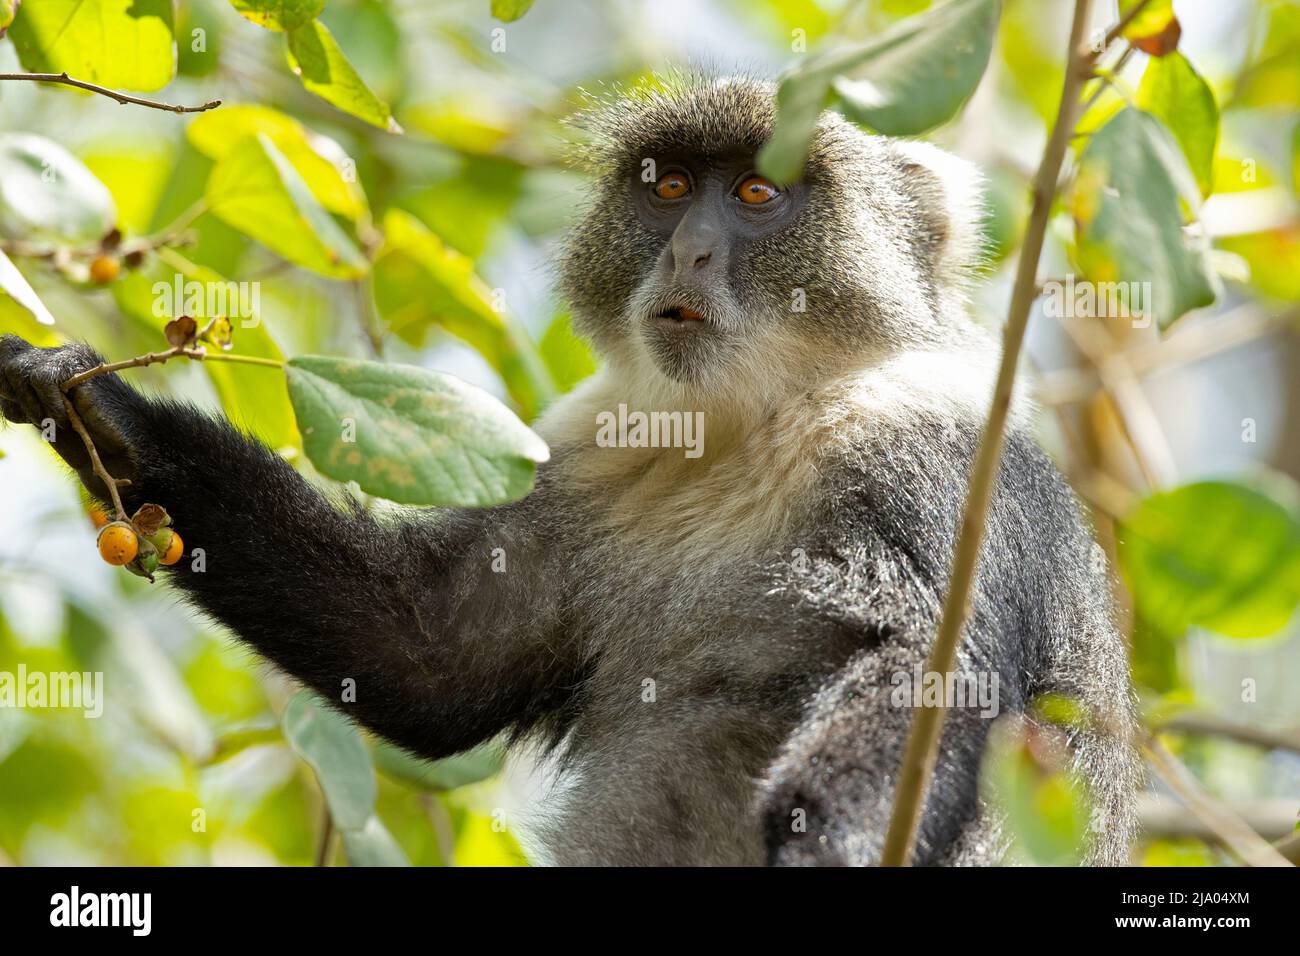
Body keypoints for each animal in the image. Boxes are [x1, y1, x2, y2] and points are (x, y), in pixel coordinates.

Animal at [0, 74, 1140, 866]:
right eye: (670, 187)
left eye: (757, 193)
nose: (686, 253)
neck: (749, 427)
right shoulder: (595, 460)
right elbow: (432, 653)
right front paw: (107, 419)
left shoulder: (933, 455)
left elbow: (936, 672)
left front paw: (832, 843)